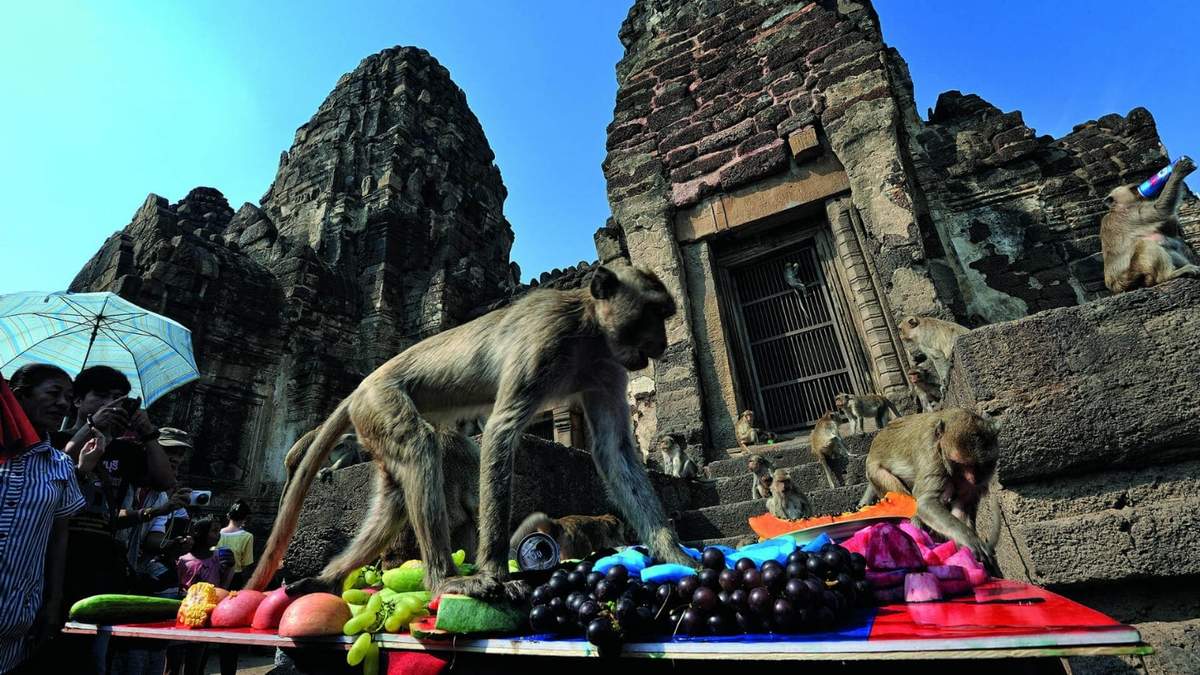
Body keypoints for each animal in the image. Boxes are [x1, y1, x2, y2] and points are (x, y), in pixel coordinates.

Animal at [249, 263, 696, 601]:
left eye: (664, 314)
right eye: (652, 313)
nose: (661, 343)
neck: (589, 329)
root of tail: (361, 386)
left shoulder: (607, 368)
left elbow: (614, 452)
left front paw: (676, 555)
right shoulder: (548, 339)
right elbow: (501, 431)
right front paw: (497, 571)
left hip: (372, 424)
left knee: (394, 497)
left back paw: (328, 578)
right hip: (381, 401)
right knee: (420, 448)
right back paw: (444, 579)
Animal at [858, 408, 1001, 573]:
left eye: (980, 465)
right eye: (960, 464)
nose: (974, 479)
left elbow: (961, 506)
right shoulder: (932, 455)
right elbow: (925, 503)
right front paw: (970, 539)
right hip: (875, 472)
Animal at [1101, 155, 1200, 293]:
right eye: (1133, 189)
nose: (1142, 191)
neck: (1118, 208)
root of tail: (1119, 287)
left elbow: (1168, 227)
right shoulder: (1130, 214)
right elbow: (1160, 211)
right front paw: (1178, 170)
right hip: (1135, 273)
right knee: (1146, 243)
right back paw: (1169, 275)